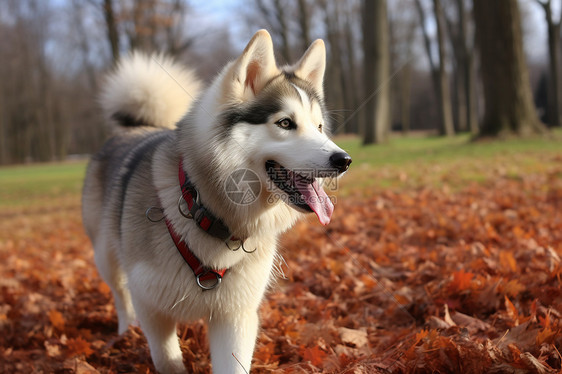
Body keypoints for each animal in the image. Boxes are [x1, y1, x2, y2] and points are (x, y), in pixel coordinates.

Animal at [82, 30, 350, 372]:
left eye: (319, 127)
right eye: (285, 123)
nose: (344, 160)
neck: (208, 213)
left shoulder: (235, 318)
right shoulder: (152, 309)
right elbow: (167, 359)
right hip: (106, 257)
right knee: (120, 296)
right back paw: (124, 333)